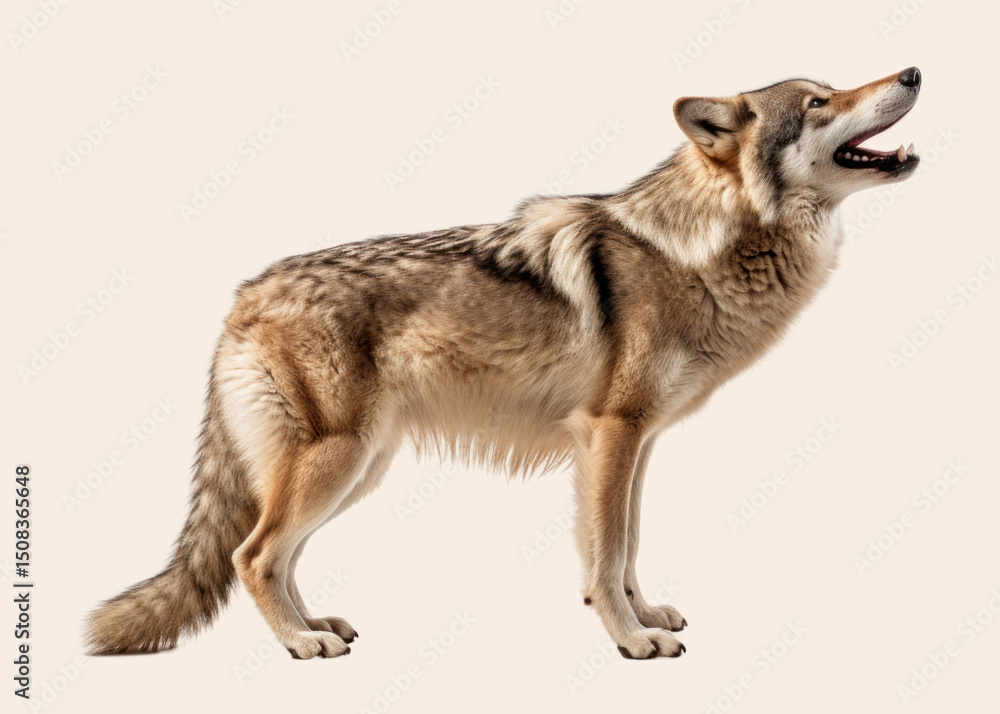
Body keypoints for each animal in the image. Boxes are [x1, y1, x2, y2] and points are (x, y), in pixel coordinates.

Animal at [87, 67, 922, 659]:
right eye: (820, 101)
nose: (914, 71)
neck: (699, 248)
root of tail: (243, 296)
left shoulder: (635, 443)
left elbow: (626, 546)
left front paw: (642, 614)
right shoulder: (609, 434)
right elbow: (606, 553)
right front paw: (631, 641)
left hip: (358, 467)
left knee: (276, 556)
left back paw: (316, 624)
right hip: (337, 459)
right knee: (252, 554)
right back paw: (300, 643)